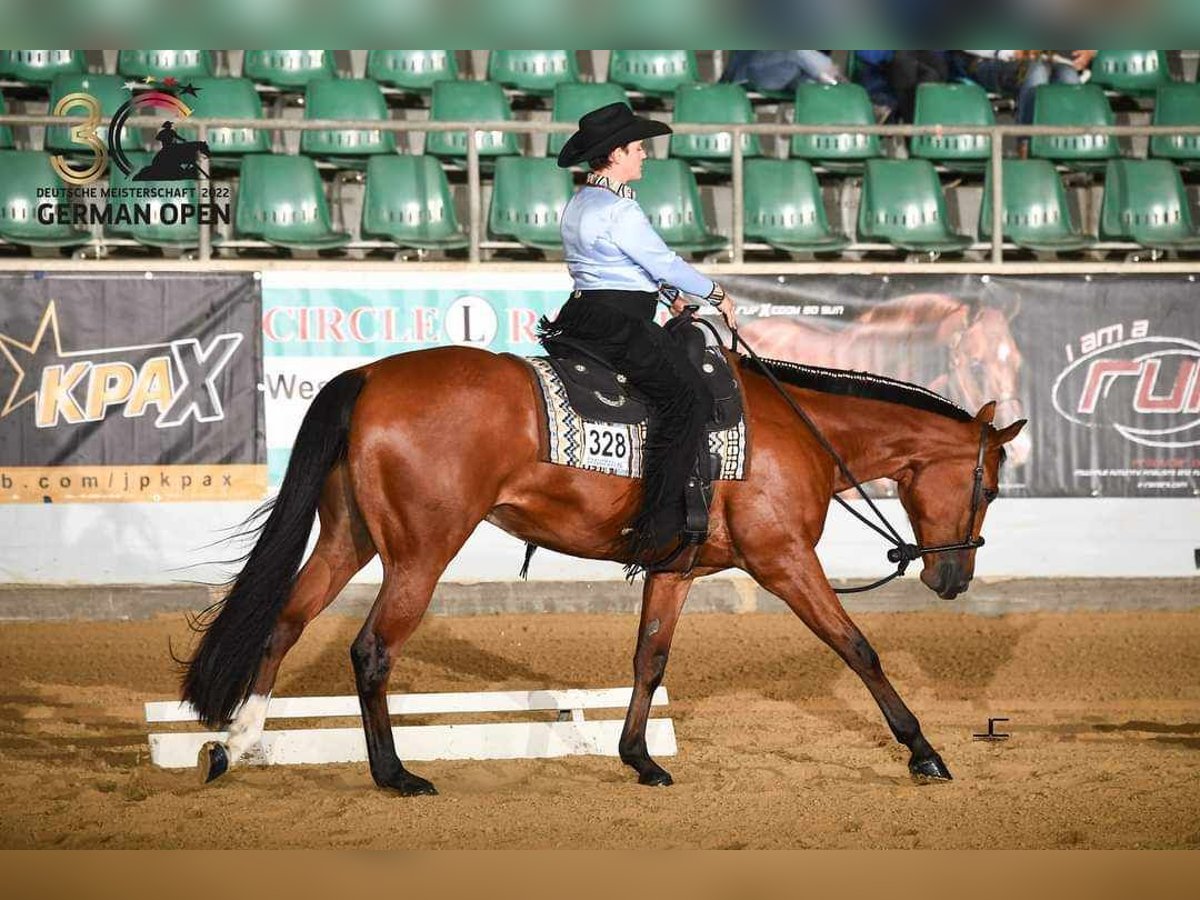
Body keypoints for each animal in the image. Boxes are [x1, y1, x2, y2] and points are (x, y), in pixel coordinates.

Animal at [182, 340, 1027, 792]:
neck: (796, 430)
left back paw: (237, 744)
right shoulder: (785, 561)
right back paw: (395, 775)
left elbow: (649, 659)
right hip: (420, 556)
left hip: (347, 540)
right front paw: (924, 752)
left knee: (284, 623)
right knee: (371, 651)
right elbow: (857, 646)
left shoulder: (675, 572)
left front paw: (640, 759)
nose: (953, 579)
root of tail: (371, 378)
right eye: (989, 485)